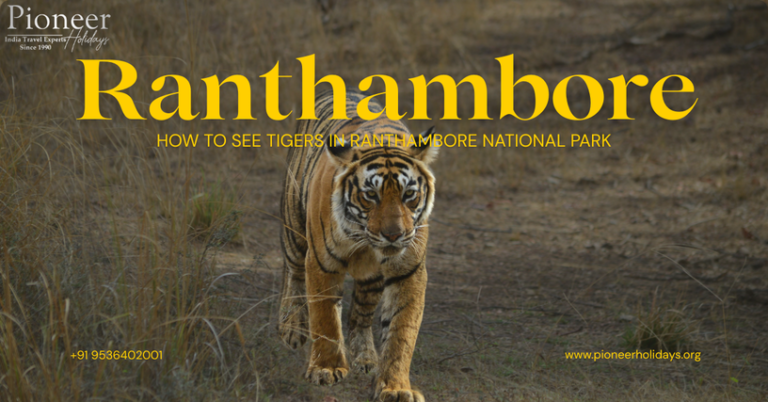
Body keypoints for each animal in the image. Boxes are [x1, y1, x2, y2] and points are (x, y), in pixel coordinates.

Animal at [278, 89, 437, 402]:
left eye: (409, 194)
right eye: (370, 195)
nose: (394, 235)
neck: (365, 242)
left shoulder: (408, 271)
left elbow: (401, 332)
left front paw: (395, 387)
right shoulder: (321, 262)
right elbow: (325, 318)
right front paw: (326, 369)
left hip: (371, 280)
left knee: (361, 315)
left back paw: (365, 358)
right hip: (294, 231)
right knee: (293, 276)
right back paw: (291, 327)